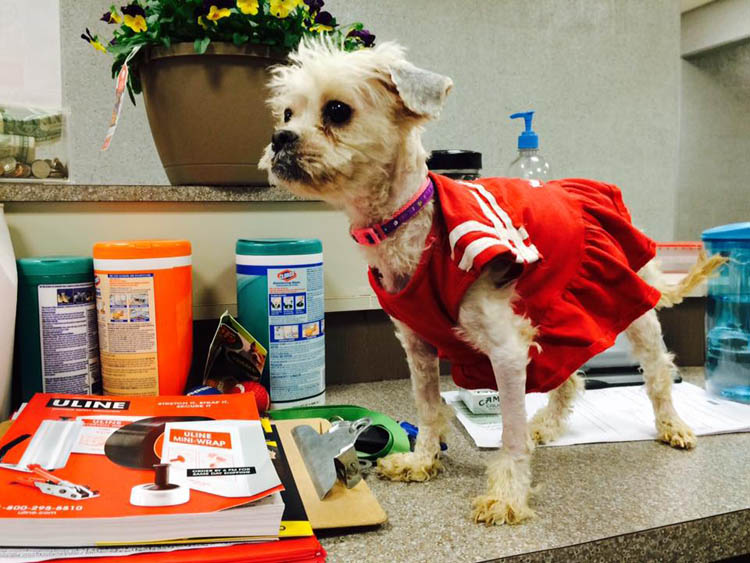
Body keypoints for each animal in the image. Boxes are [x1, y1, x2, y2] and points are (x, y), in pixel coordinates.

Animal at [262, 38, 724, 524]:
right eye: (287, 113)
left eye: (337, 110)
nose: (280, 138)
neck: (410, 225)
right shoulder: (419, 346)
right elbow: (428, 408)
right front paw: (422, 460)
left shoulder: (505, 350)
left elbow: (510, 432)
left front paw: (507, 494)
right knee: (570, 378)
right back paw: (548, 424)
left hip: (630, 302)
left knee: (657, 371)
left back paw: (672, 425)